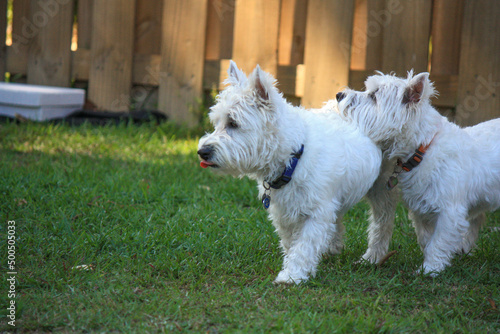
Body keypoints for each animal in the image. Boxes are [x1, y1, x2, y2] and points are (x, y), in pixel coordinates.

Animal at [197, 61, 380, 284]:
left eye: (233, 123)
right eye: (216, 123)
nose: (202, 152)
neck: (293, 158)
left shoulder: (317, 212)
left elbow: (304, 245)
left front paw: (291, 276)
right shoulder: (284, 212)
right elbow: (291, 242)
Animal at [336, 72, 500, 276]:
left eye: (374, 96)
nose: (339, 95)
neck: (422, 149)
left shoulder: (450, 210)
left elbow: (439, 241)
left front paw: (430, 269)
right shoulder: (421, 209)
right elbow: (426, 239)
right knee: (477, 219)